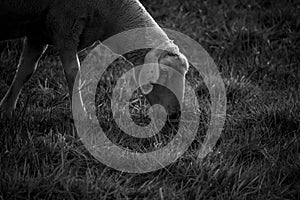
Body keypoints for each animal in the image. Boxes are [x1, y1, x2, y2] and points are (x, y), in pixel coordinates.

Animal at [0, 0, 189, 118]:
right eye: (164, 74)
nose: (175, 115)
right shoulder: (65, 27)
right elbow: (74, 74)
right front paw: (81, 115)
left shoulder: (38, 32)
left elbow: (25, 71)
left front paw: (6, 110)